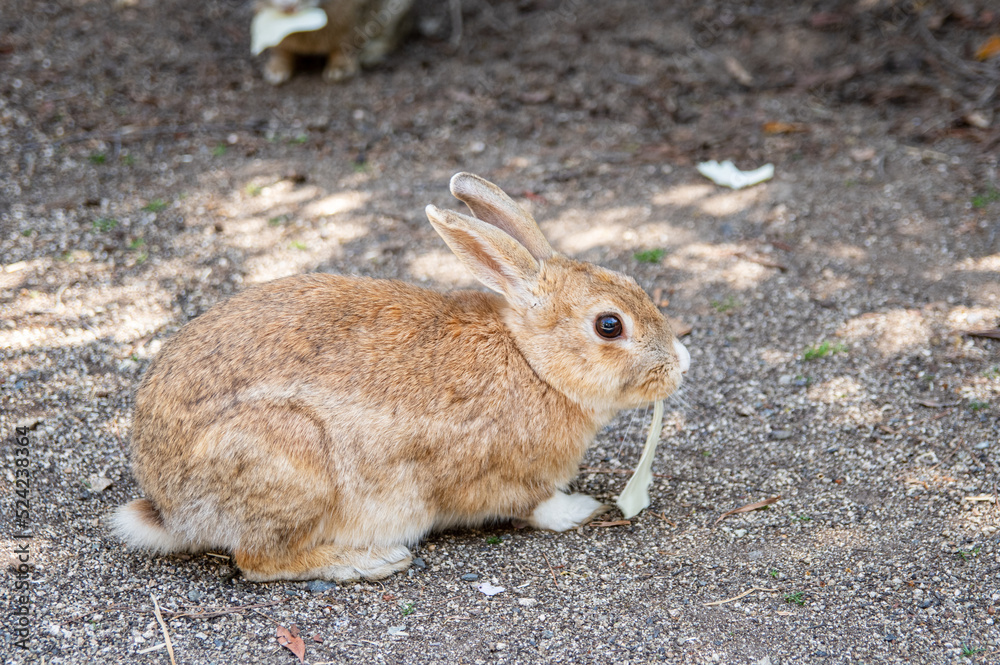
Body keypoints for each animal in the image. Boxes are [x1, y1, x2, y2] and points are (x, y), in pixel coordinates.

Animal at [111, 173, 691, 583]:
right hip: (287, 456)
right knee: (258, 560)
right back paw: (369, 561)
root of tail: (168, 507)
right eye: (609, 325)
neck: (532, 362)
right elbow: (533, 506)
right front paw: (580, 509)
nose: (682, 362)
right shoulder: (494, 476)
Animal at [254, 0, 414, 85]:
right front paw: (275, 72)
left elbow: (344, 47)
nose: (289, 7)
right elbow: (282, 51)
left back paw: (369, 57)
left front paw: (339, 72)